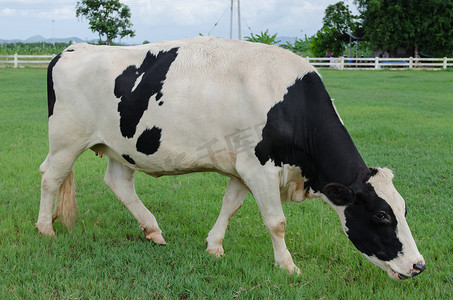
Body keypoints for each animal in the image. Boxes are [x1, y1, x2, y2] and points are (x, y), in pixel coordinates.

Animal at [37, 37, 426, 278]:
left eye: (404, 209)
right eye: (381, 214)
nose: (418, 265)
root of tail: (72, 48)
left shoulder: (243, 168)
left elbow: (230, 205)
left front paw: (214, 247)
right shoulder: (260, 167)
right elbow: (276, 221)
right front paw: (288, 266)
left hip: (122, 147)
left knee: (118, 183)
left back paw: (153, 230)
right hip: (67, 139)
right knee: (50, 177)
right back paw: (45, 229)